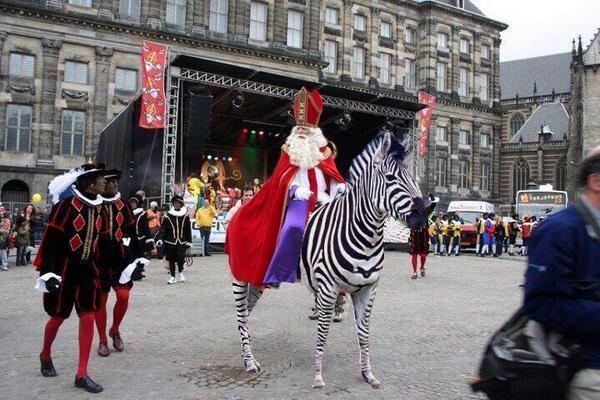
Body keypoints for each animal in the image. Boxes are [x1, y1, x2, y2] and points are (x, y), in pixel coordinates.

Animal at [230, 129, 426, 388]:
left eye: (411, 176)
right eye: (391, 178)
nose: (425, 213)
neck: (364, 236)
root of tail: (241, 207)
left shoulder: (368, 289)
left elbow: (364, 333)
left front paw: (368, 374)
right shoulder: (327, 289)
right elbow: (322, 332)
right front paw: (318, 377)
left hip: (257, 278)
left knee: (246, 313)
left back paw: (248, 354)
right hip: (240, 276)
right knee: (241, 315)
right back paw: (249, 363)